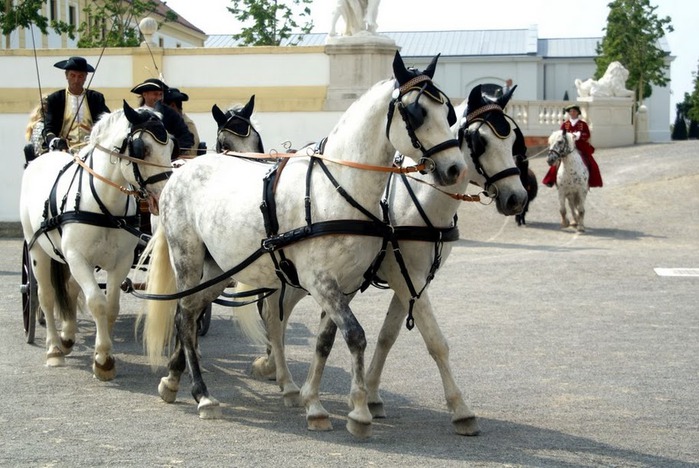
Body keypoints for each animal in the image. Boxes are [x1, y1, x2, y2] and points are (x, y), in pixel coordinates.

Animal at [21, 103, 176, 380]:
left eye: (170, 145)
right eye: (142, 148)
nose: (166, 191)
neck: (103, 205)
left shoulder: (121, 261)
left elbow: (111, 306)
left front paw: (104, 355)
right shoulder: (77, 258)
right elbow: (97, 302)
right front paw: (103, 358)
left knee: (70, 288)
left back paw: (67, 336)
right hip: (37, 249)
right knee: (46, 295)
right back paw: (54, 348)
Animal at [142, 49, 468, 436]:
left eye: (448, 113)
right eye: (416, 113)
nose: (455, 169)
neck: (338, 188)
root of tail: (180, 171)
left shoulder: (346, 284)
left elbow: (327, 340)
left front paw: (317, 405)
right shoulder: (321, 281)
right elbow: (355, 335)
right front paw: (358, 412)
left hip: (220, 269)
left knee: (188, 313)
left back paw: (172, 381)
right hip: (188, 259)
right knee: (187, 315)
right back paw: (202, 394)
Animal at [249, 83, 528, 436]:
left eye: (514, 140)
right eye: (481, 141)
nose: (517, 198)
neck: (414, 203)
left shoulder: (410, 281)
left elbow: (386, 336)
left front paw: (371, 396)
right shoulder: (402, 275)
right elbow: (435, 341)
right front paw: (461, 410)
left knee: (277, 313)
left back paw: (274, 367)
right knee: (274, 314)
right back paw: (281, 375)